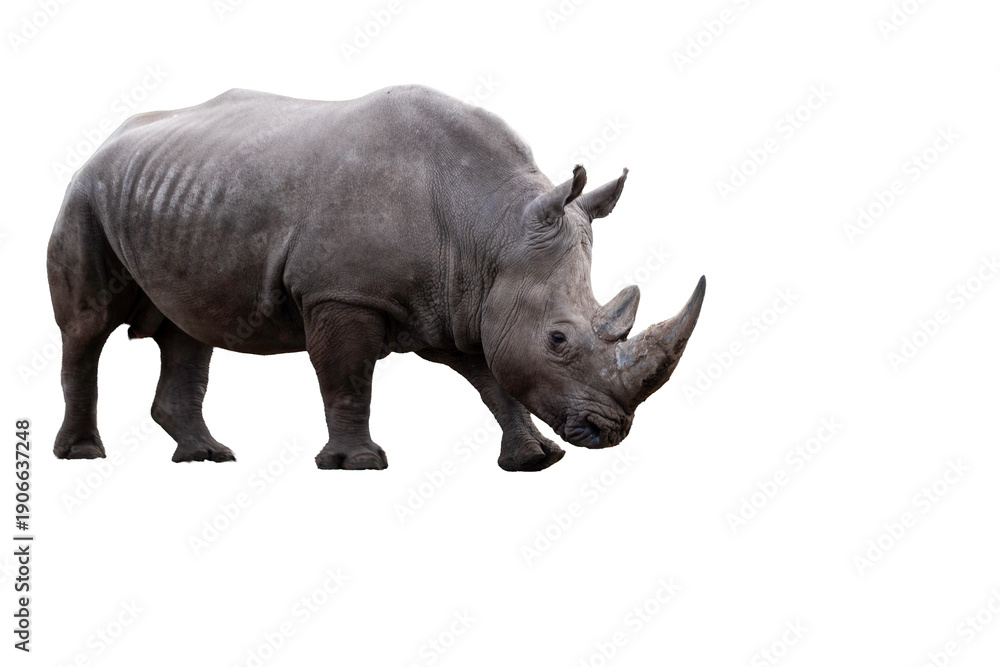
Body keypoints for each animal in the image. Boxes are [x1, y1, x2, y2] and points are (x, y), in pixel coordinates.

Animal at [47, 86, 705, 471]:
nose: (608, 431)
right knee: (87, 328)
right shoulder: (341, 294)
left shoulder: (462, 299)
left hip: (175, 191)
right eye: (559, 340)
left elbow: (493, 377)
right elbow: (347, 377)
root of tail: (107, 140)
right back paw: (83, 454)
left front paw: (535, 459)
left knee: (187, 329)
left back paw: (207, 457)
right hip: (85, 194)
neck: (491, 229)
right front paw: (356, 463)